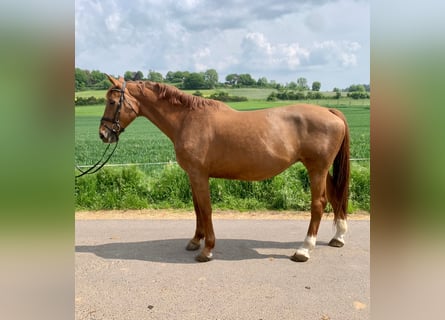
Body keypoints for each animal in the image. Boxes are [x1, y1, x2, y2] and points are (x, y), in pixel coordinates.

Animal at [100, 75, 350, 262]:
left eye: (112, 102)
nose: (103, 134)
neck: (187, 119)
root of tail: (330, 111)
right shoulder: (193, 176)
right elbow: (197, 209)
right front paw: (195, 241)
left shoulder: (199, 175)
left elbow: (206, 209)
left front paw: (207, 249)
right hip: (322, 170)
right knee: (335, 196)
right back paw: (338, 237)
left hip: (316, 170)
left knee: (318, 204)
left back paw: (304, 249)